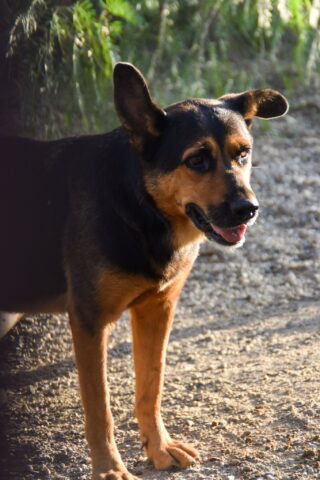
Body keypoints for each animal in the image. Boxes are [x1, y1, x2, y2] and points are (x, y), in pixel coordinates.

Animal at [0, 62, 290, 478]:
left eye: (244, 154)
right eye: (196, 160)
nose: (248, 209)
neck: (141, 209)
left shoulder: (157, 310)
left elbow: (150, 385)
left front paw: (159, 447)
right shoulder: (89, 322)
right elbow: (99, 409)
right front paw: (109, 469)